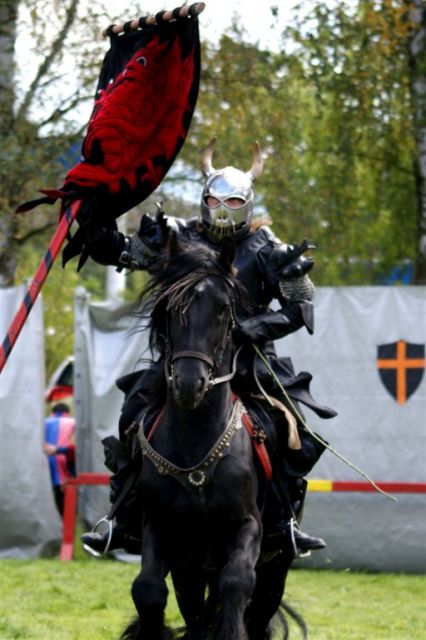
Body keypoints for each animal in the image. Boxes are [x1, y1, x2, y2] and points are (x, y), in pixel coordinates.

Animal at [121, 235, 296, 640]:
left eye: (222, 309)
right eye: (170, 308)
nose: (190, 383)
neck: (196, 445)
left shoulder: (246, 526)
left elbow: (237, 583)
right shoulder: (163, 530)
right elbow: (148, 589)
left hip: (274, 566)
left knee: (259, 603)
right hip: (193, 567)